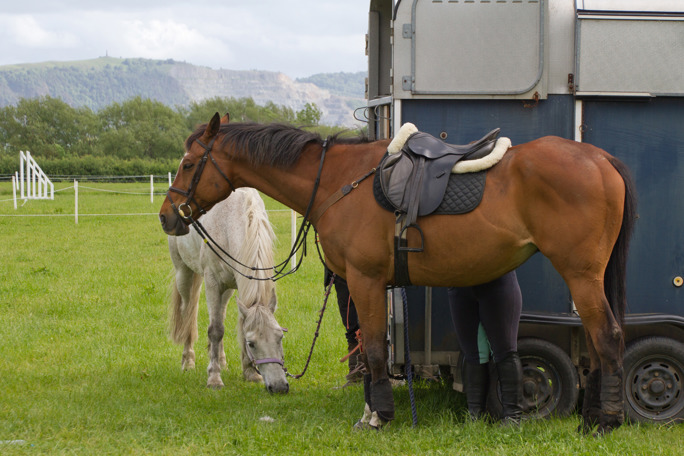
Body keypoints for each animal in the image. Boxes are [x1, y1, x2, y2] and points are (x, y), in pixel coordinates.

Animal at [167, 186, 289, 394]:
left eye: (280, 337)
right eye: (252, 344)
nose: (279, 387)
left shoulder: (239, 285)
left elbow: (236, 324)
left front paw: (250, 373)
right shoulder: (212, 282)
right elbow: (215, 330)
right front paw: (214, 378)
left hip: (226, 290)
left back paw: (221, 361)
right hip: (184, 273)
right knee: (188, 313)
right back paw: (188, 361)